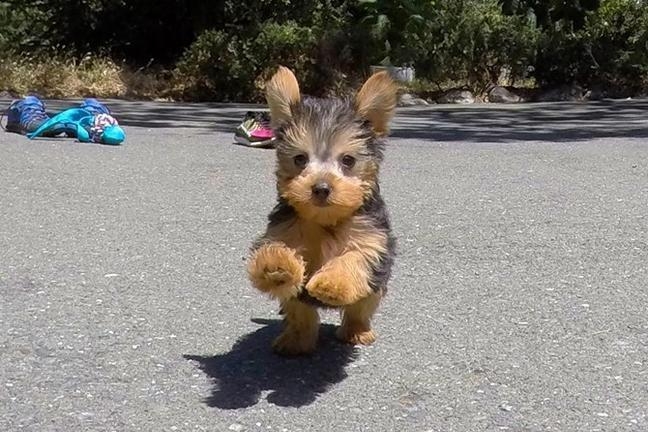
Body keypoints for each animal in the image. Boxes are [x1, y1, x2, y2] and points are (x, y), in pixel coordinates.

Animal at [247, 66, 394, 356]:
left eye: (348, 160)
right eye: (300, 159)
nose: (321, 188)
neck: (325, 219)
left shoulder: (372, 243)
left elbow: (353, 259)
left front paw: (331, 284)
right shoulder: (282, 230)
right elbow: (275, 248)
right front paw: (276, 267)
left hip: (374, 289)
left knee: (360, 309)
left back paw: (357, 331)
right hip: (297, 301)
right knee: (300, 311)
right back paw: (296, 340)